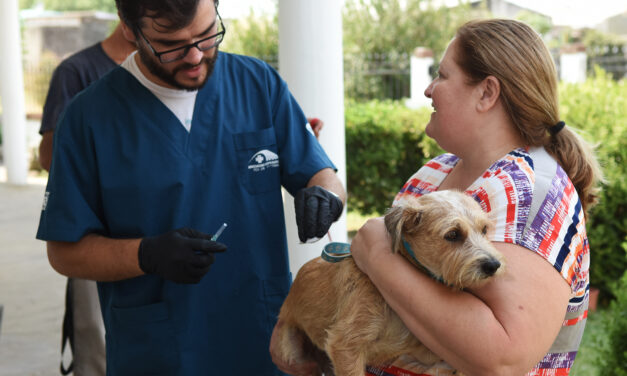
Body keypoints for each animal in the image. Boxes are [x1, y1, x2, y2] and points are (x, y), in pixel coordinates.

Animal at [274, 191, 506, 376]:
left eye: (484, 229)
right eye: (453, 234)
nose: (493, 265)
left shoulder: (426, 351)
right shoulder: (345, 346)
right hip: (293, 352)